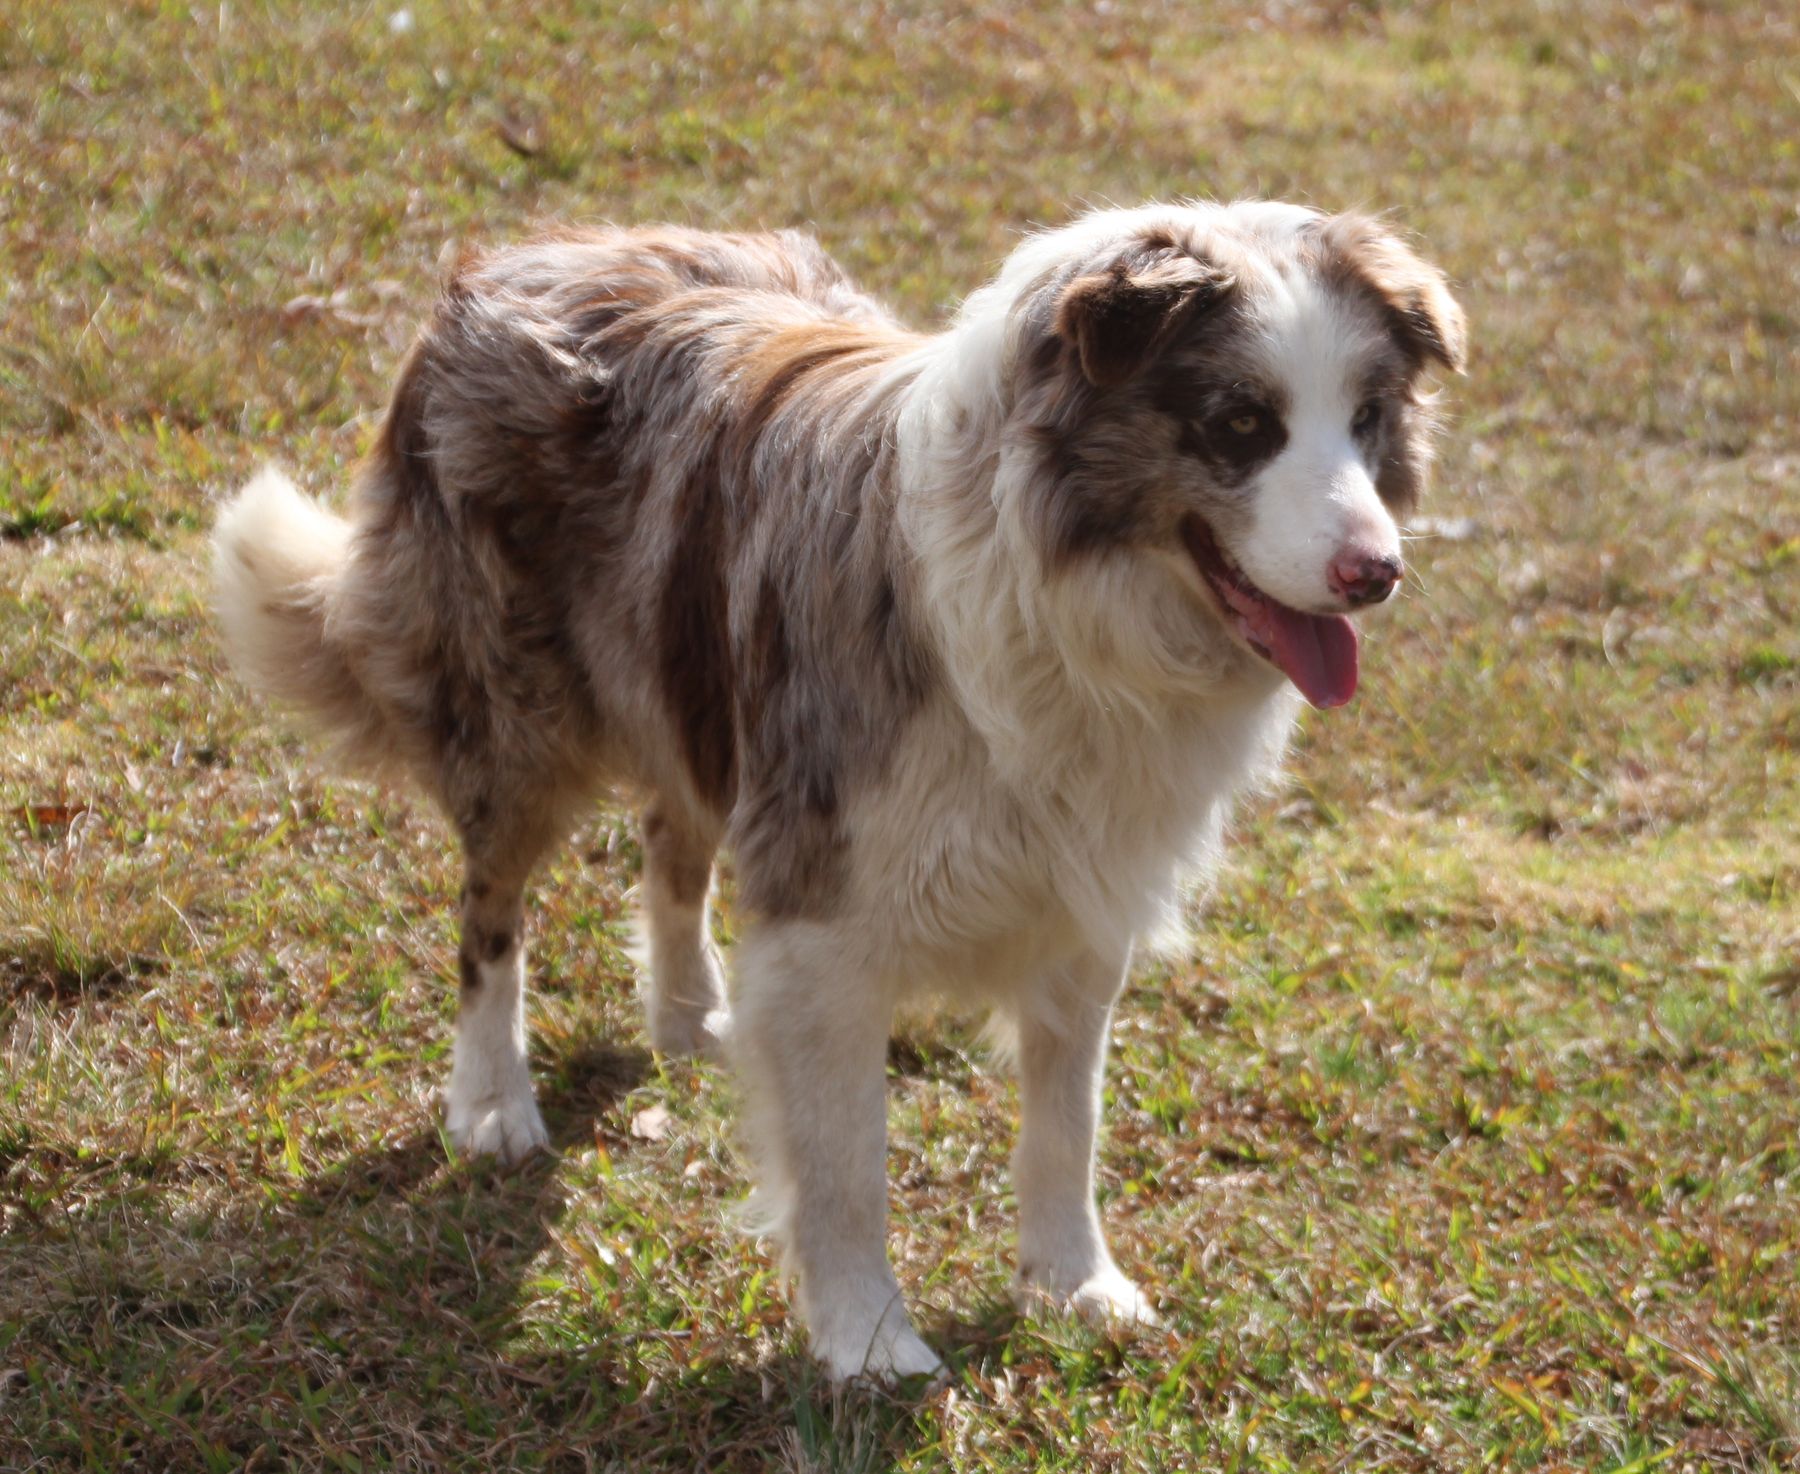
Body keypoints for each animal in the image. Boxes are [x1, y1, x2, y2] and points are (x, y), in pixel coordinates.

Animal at [217, 198, 1468, 1382]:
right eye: (1242, 423)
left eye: (1367, 419)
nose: (1377, 573)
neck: (1063, 597)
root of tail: (522, 255)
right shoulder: (825, 904)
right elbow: (846, 1162)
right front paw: (868, 1343)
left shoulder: (1077, 897)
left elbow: (1068, 1125)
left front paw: (1073, 1285)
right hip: (517, 722)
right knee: (489, 915)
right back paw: (492, 1099)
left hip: (694, 679)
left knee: (671, 838)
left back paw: (689, 1018)